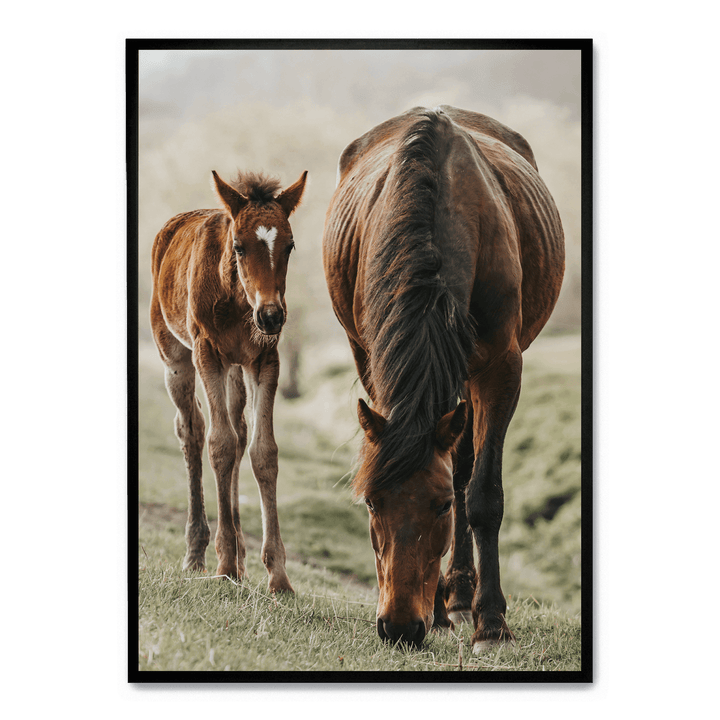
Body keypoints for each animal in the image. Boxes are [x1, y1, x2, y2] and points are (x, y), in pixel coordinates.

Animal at [150, 168, 307, 593]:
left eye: (289, 246)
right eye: (238, 246)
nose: (271, 316)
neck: (239, 303)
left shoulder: (264, 360)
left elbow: (262, 451)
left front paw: (278, 576)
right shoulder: (208, 354)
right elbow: (218, 444)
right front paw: (223, 563)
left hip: (236, 370)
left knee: (239, 432)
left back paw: (239, 556)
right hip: (176, 358)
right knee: (192, 430)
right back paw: (198, 552)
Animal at [322, 106, 564, 650]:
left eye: (438, 508)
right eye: (372, 503)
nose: (399, 627)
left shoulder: (501, 367)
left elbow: (481, 494)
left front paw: (491, 623)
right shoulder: (373, 362)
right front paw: (437, 610)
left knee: (465, 467)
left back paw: (463, 595)